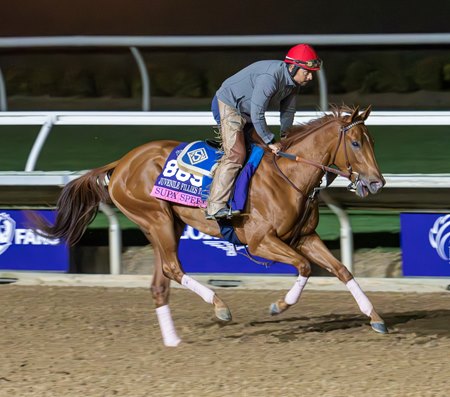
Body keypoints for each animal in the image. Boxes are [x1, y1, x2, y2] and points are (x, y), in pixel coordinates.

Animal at [35, 103, 386, 344]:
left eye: (372, 141)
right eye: (356, 143)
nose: (377, 182)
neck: (289, 176)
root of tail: (121, 162)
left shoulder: (305, 237)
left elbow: (342, 270)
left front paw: (376, 318)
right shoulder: (261, 241)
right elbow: (304, 267)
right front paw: (279, 306)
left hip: (166, 225)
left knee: (160, 281)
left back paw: (173, 340)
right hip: (156, 218)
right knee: (172, 269)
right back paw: (219, 306)